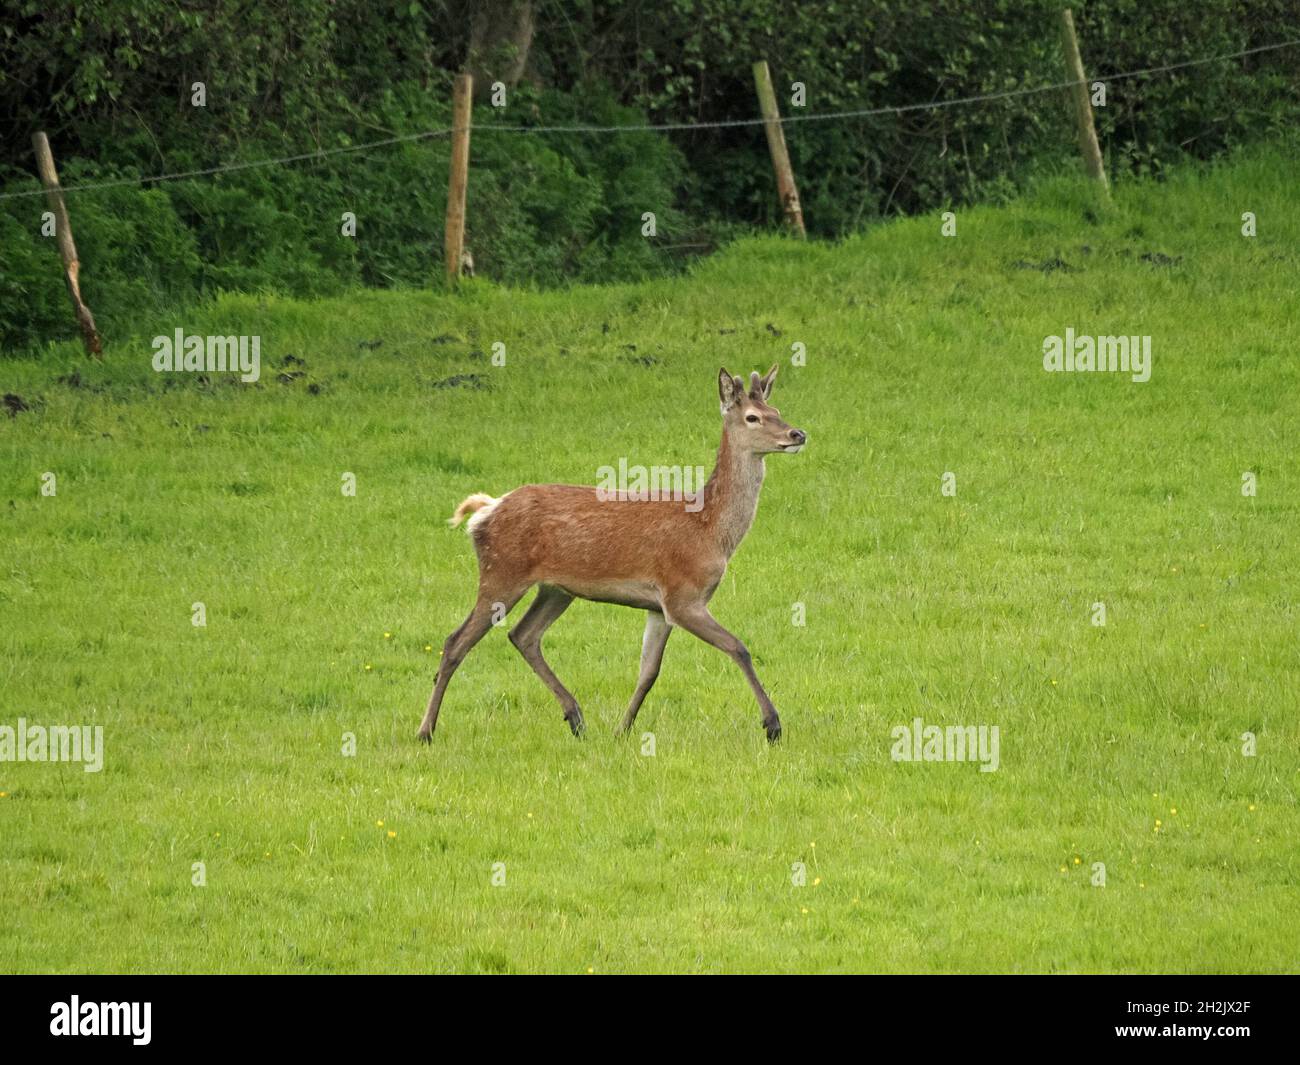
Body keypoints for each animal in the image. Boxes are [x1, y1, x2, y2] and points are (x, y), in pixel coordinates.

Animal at [416, 366, 806, 749]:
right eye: (753, 417)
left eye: (777, 410)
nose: (797, 433)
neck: (710, 530)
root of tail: (485, 511)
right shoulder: (682, 595)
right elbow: (738, 647)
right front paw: (772, 725)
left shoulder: (659, 607)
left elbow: (649, 671)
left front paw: (623, 730)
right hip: (501, 573)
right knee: (455, 642)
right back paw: (425, 731)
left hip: (555, 589)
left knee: (523, 635)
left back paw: (575, 717)